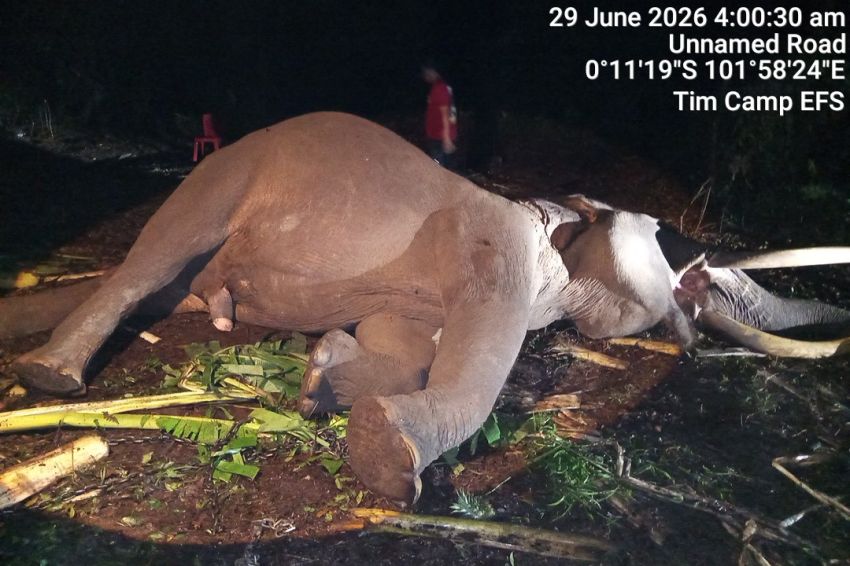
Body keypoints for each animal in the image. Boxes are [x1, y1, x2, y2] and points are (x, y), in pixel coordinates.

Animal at [2, 112, 849, 503]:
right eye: (665, 239)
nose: (695, 288)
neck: (552, 220)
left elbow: (407, 348)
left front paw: (324, 374)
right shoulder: (497, 252)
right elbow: (471, 373)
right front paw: (388, 457)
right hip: (221, 175)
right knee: (152, 255)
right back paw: (50, 380)